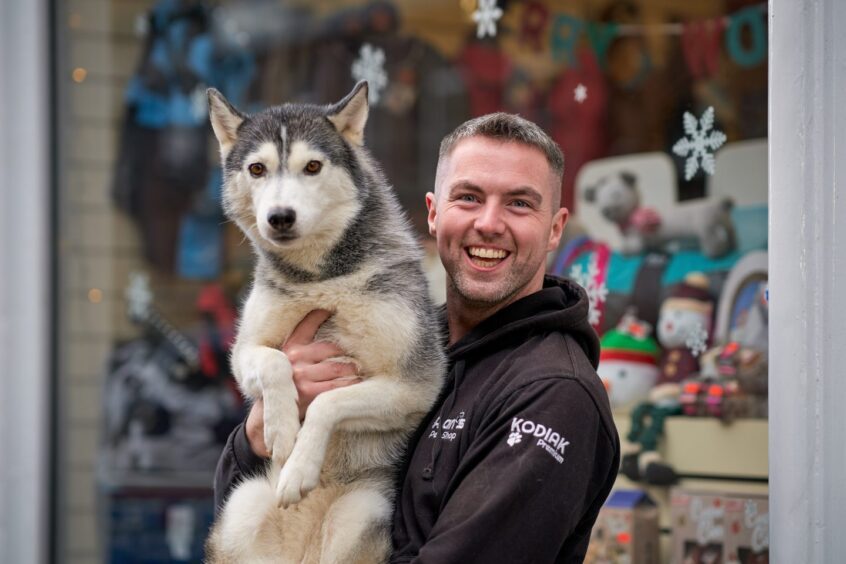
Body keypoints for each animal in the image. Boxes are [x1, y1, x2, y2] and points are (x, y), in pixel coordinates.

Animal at [205, 80, 448, 564]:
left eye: (312, 166)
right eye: (257, 169)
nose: (280, 216)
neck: (321, 279)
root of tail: (297, 553)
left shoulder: (415, 384)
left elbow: (326, 403)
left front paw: (298, 467)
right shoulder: (243, 353)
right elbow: (274, 362)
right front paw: (281, 431)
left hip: (362, 511)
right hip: (242, 506)